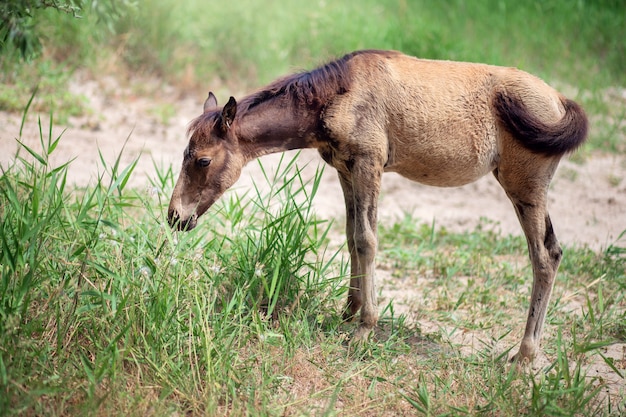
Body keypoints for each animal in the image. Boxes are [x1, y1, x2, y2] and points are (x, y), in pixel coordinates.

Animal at [166, 49, 584, 360]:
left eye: (202, 160)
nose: (174, 217)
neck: (336, 95)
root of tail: (558, 100)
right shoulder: (345, 170)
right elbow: (352, 237)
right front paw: (348, 313)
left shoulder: (369, 164)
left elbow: (368, 240)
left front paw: (365, 329)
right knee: (553, 251)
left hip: (524, 186)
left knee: (544, 257)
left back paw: (525, 355)